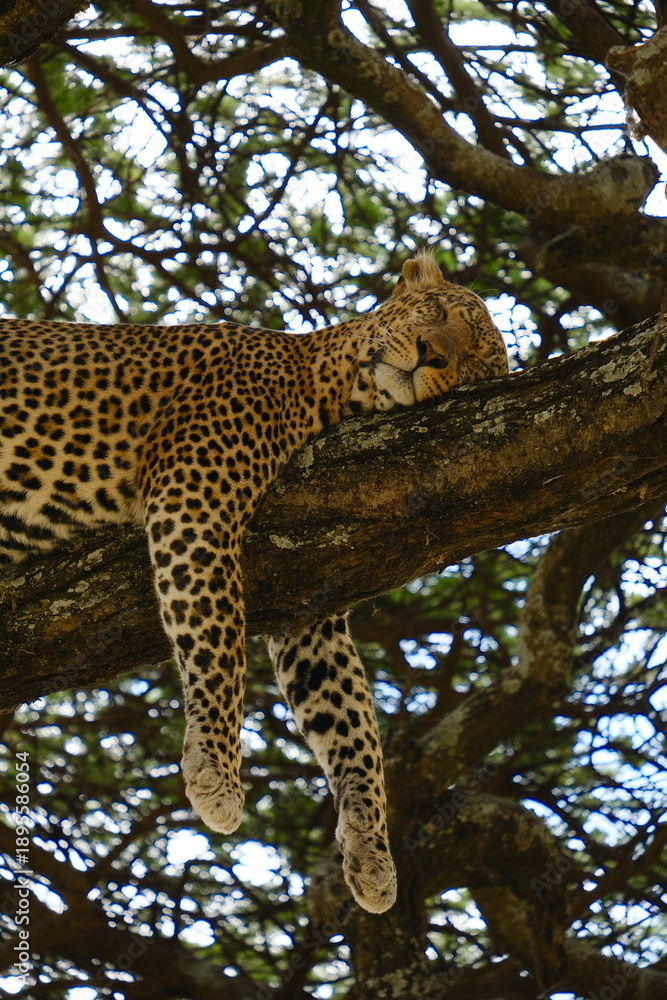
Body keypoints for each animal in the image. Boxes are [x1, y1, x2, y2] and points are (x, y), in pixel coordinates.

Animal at [0, 253, 508, 913]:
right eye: (438, 311)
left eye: (476, 368)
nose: (432, 356)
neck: (328, 390)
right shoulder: (194, 499)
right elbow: (218, 639)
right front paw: (217, 772)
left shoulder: (312, 611)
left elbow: (351, 722)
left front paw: (372, 850)